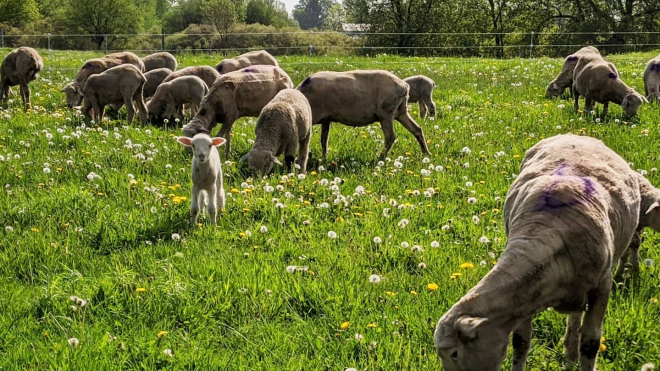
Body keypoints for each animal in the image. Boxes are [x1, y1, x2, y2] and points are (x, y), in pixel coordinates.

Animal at [296, 70, 430, 160]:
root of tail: (404, 85)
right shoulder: (326, 119)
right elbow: (324, 139)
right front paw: (324, 157)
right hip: (401, 112)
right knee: (417, 129)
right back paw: (426, 153)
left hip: (386, 113)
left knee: (391, 136)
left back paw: (380, 157)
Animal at [436, 134, 648, 371]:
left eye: (454, 353)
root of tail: (576, 134)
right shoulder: (525, 299)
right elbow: (520, 342)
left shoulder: (602, 287)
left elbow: (590, 343)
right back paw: (569, 353)